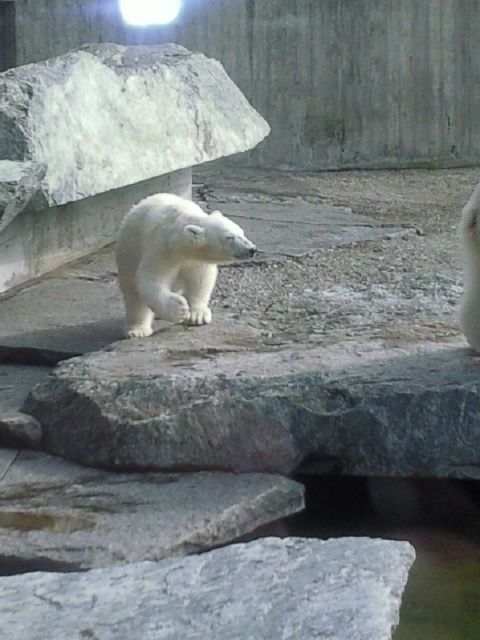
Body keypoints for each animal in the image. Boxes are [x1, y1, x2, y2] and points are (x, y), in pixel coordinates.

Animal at [115, 192, 256, 338]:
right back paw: (138, 330)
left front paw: (197, 315)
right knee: (134, 295)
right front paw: (180, 308)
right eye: (229, 237)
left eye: (242, 232)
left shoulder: (196, 259)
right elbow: (151, 279)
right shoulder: (162, 250)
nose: (251, 249)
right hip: (128, 254)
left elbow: (201, 279)